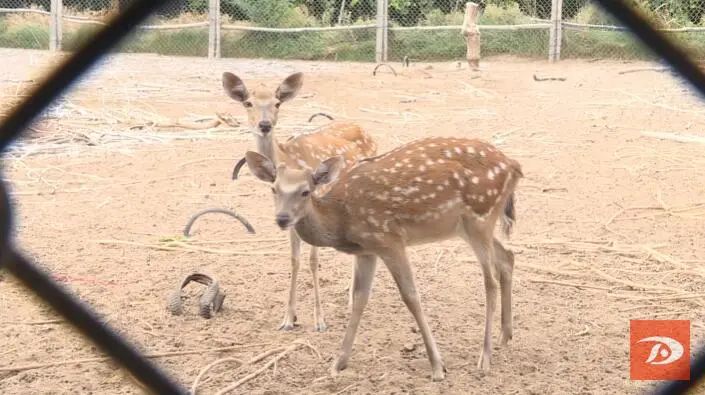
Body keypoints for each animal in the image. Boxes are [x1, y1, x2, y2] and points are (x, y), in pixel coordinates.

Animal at [224, 72, 380, 332]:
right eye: (248, 103)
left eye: (277, 103)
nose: (264, 125)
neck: (288, 158)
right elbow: (294, 260)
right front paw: (288, 318)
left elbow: (313, 260)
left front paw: (319, 320)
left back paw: (352, 297)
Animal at [245, 138, 520, 382]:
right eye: (274, 189)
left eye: (305, 191)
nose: (282, 218)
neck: (341, 220)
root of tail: (513, 166)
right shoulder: (367, 250)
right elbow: (359, 298)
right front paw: (338, 363)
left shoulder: (389, 239)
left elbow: (411, 296)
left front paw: (437, 366)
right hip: (466, 226)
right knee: (507, 256)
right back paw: (505, 336)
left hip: (480, 217)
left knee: (490, 280)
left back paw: (484, 358)